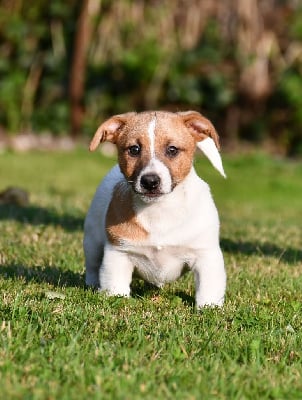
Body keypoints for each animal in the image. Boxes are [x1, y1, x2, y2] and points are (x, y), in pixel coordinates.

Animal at [84, 111, 225, 308]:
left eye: (172, 150)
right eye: (134, 149)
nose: (150, 181)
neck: (159, 210)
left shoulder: (206, 256)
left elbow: (208, 289)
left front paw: (208, 309)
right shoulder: (118, 254)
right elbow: (116, 286)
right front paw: (117, 301)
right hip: (92, 241)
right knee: (92, 266)